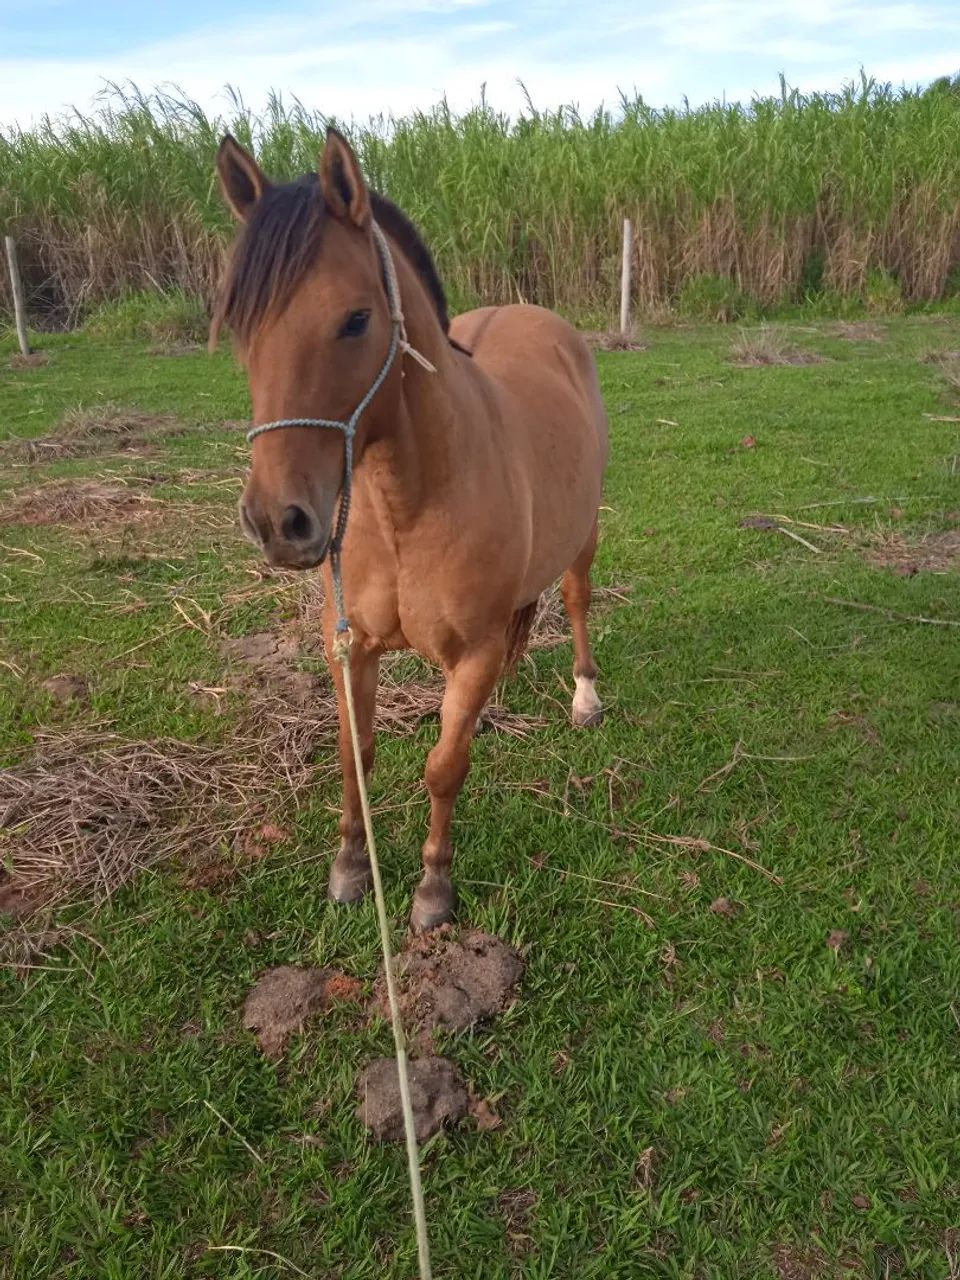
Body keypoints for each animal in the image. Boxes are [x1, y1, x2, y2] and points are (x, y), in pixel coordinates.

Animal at [212, 127, 609, 931]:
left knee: (577, 601)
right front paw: (350, 868)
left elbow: (443, 767)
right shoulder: (351, 647)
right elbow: (354, 756)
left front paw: (433, 890)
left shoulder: (473, 650)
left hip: (582, 537)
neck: (407, 509)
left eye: (356, 319)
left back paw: (584, 698)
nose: (278, 521)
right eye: (240, 324)